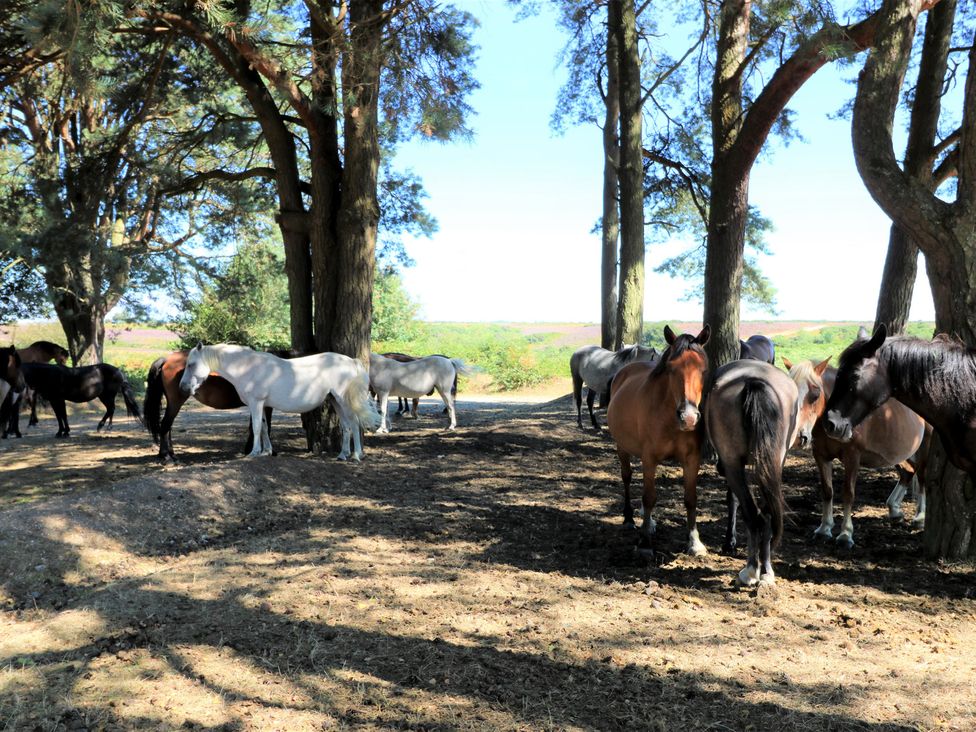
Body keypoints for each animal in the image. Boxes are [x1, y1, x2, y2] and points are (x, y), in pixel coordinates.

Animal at [8, 362, 142, 438]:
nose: (14, 388)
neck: (48, 375)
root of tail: (118, 371)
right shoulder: (54, 400)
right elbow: (60, 416)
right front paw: (62, 432)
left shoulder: (58, 399)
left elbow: (62, 415)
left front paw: (64, 432)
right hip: (104, 396)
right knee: (111, 409)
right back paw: (107, 427)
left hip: (107, 395)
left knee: (111, 409)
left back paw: (103, 427)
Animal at [144, 350, 277, 461]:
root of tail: (167, 359)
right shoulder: (263, 405)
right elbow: (263, 426)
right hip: (175, 402)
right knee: (165, 424)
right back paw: (166, 456)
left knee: (168, 426)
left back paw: (171, 454)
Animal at [179, 343, 381, 460]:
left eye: (191, 364)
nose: (183, 387)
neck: (247, 367)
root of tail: (352, 361)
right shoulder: (262, 405)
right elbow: (264, 427)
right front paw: (266, 451)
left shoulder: (256, 403)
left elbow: (257, 428)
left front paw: (254, 453)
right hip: (335, 401)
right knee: (346, 426)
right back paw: (342, 454)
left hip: (344, 401)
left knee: (354, 424)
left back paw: (356, 455)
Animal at [605, 325, 710, 556]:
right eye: (671, 368)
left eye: (704, 370)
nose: (689, 418)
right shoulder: (650, 458)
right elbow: (649, 497)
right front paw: (644, 543)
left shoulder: (692, 459)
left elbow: (691, 499)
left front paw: (695, 542)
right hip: (622, 447)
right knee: (627, 477)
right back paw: (629, 518)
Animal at [705, 360, 797, 586]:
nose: (719, 468)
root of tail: (755, 379)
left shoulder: (731, 464)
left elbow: (734, 501)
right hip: (773, 463)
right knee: (768, 515)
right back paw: (766, 572)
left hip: (732, 464)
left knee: (753, 515)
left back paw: (750, 571)